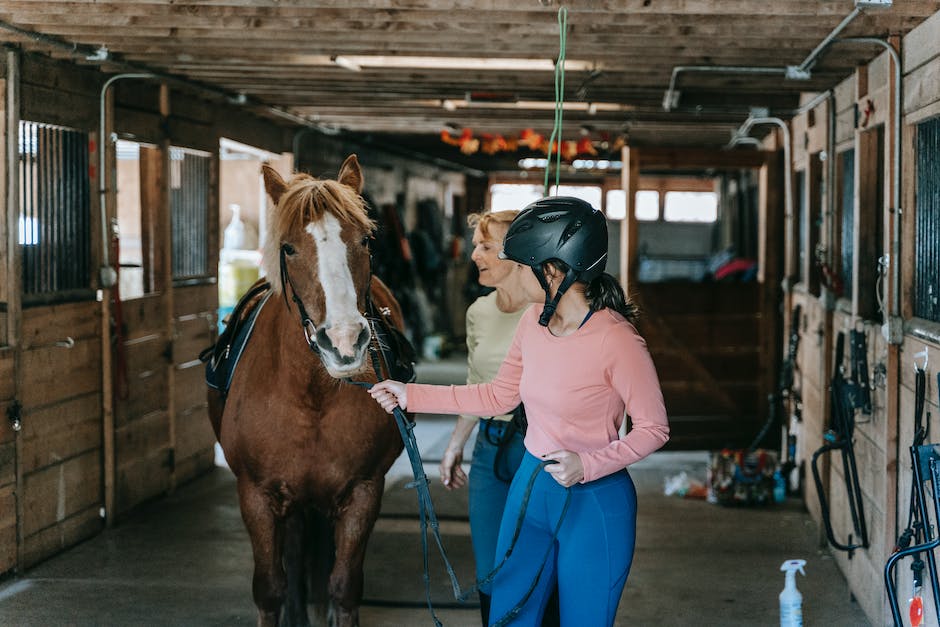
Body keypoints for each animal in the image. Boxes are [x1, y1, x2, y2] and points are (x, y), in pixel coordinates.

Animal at [208, 153, 404, 627]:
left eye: (366, 241)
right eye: (289, 247)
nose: (345, 342)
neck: (311, 395)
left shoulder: (363, 492)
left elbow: (344, 587)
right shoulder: (257, 496)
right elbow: (270, 589)